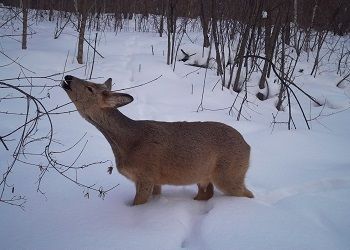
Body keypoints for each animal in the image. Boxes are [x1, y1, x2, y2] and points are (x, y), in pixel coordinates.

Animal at [62, 75, 254, 204]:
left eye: (90, 88)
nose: (68, 77)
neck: (127, 141)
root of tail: (248, 147)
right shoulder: (155, 180)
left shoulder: (146, 175)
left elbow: (137, 204)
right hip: (204, 177)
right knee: (207, 194)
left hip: (230, 174)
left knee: (248, 194)